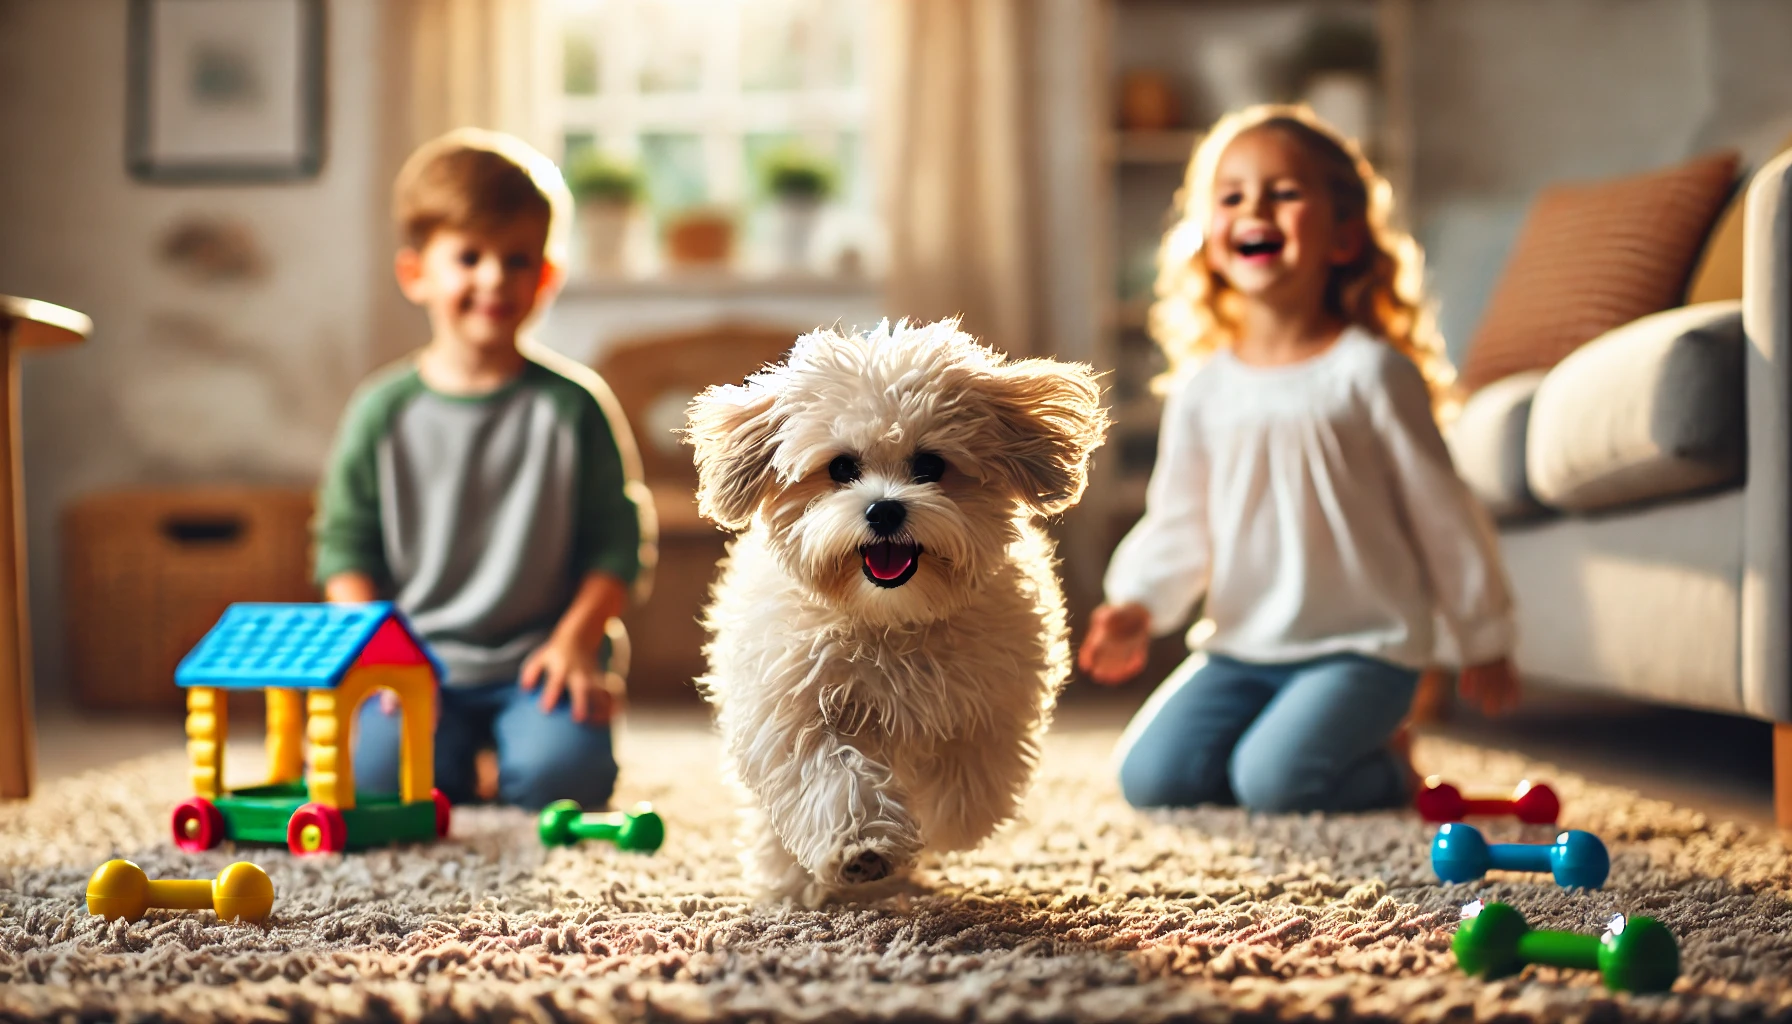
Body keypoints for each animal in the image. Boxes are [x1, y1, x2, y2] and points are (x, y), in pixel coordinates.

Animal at [684, 317, 1103, 900]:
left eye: (929, 464)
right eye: (841, 467)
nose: (884, 509)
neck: (892, 621)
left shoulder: (992, 704)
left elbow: (971, 784)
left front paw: (940, 825)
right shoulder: (794, 708)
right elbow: (831, 774)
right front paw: (862, 848)